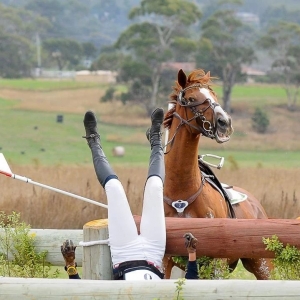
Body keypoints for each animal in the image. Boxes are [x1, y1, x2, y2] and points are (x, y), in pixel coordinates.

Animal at [163, 69, 274, 280]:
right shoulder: (165, 262)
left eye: (214, 97)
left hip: (263, 265)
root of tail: (256, 205)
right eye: (191, 98)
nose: (225, 123)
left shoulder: (217, 264)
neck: (181, 195)